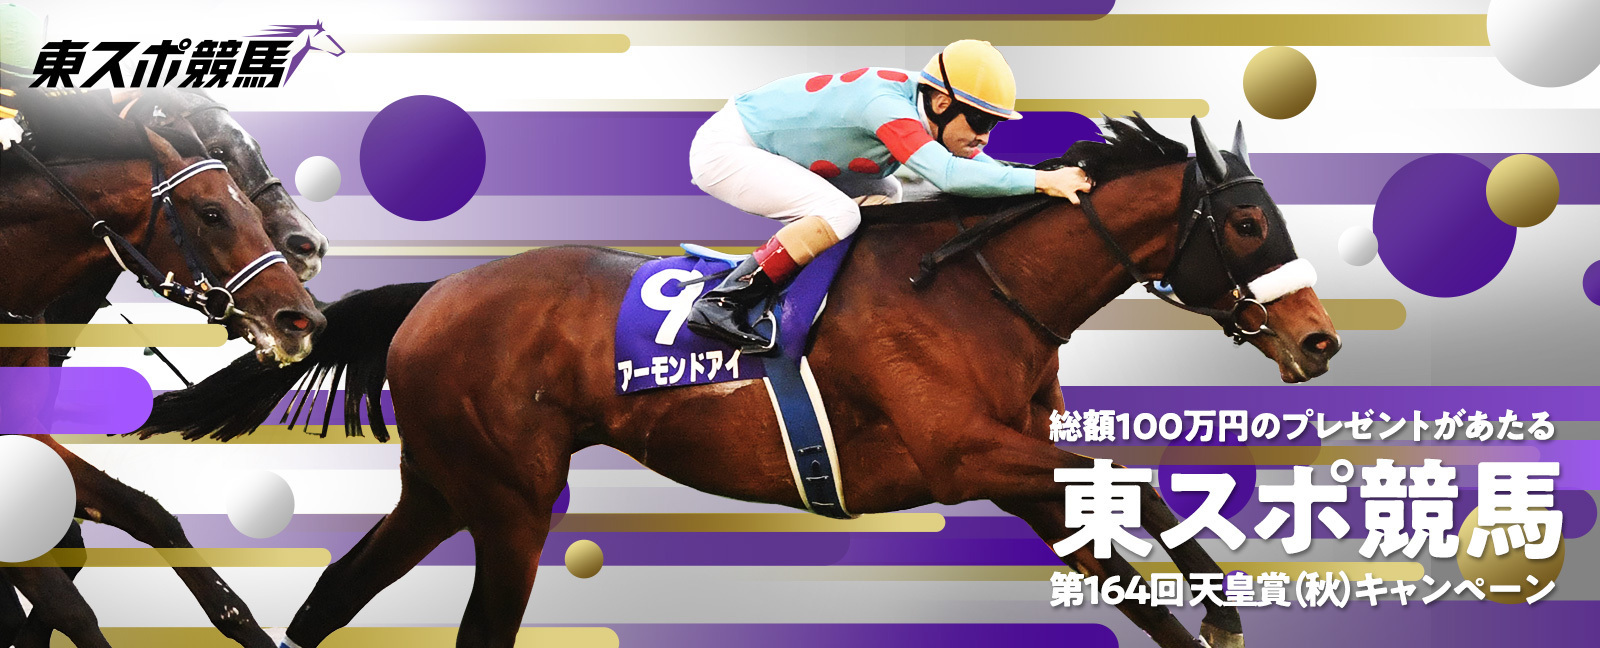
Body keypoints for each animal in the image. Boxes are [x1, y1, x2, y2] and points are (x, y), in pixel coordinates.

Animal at [142, 116, 1340, 648]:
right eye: (1246, 225)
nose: (1320, 341)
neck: (976, 286)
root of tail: (437, 292)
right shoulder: (964, 452)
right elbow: (1133, 483)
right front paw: (1224, 602)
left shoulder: (1020, 477)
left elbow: (1119, 552)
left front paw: (1206, 613)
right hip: (509, 498)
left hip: (443, 484)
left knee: (337, 593)